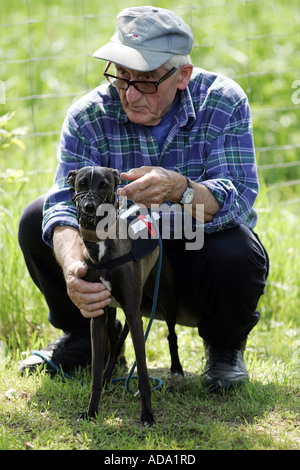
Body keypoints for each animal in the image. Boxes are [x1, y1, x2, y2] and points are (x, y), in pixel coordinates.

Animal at [66, 166, 183, 426]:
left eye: (105, 184)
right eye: (82, 183)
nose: (89, 207)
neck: (102, 247)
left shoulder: (133, 312)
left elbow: (144, 374)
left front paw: (147, 414)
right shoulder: (98, 314)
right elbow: (95, 372)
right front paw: (91, 410)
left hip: (164, 298)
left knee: (171, 335)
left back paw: (177, 368)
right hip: (113, 314)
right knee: (114, 344)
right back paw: (108, 376)